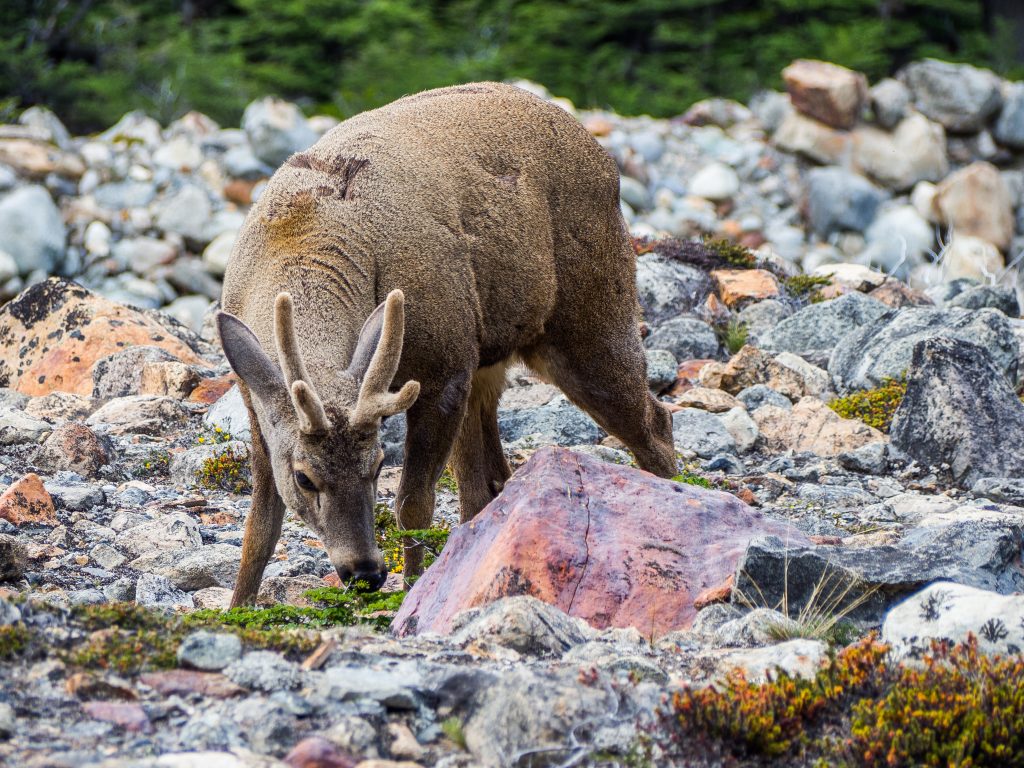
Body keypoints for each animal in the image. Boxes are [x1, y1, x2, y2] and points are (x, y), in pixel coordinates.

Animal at [218, 79, 679, 606]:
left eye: (378, 464)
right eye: (303, 476)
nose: (365, 572)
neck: (299, 231)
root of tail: (602, 155)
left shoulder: (443, 368)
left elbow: (413, 506)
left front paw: (411, 592)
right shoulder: (254, 397)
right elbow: (260, 524)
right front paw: (237, 607)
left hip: (591, 316)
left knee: (654, 422)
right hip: (490, 357)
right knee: (493, 480)